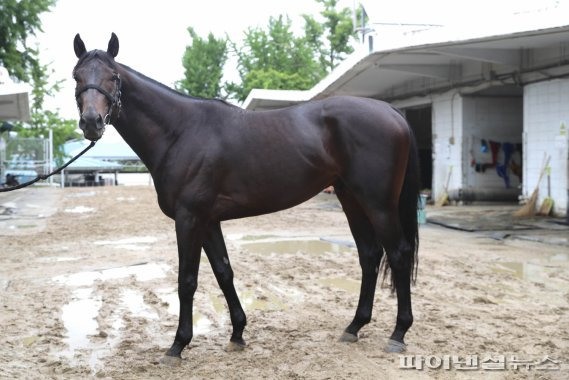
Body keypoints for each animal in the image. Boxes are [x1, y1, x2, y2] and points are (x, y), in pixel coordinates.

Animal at [71, 34, 418, 364]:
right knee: (369, 256)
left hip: (378, 204)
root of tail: (390, 111)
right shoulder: (208, 221)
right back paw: (354, 326)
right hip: (351, 199)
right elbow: (224, 273)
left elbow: (187, 280)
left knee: (398, 254)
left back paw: (398, 333)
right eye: (76, 76)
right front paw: (237, 333)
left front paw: (178, 345)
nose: (91, 122)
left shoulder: (189, 219)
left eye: (114, 76)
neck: (180, 131)